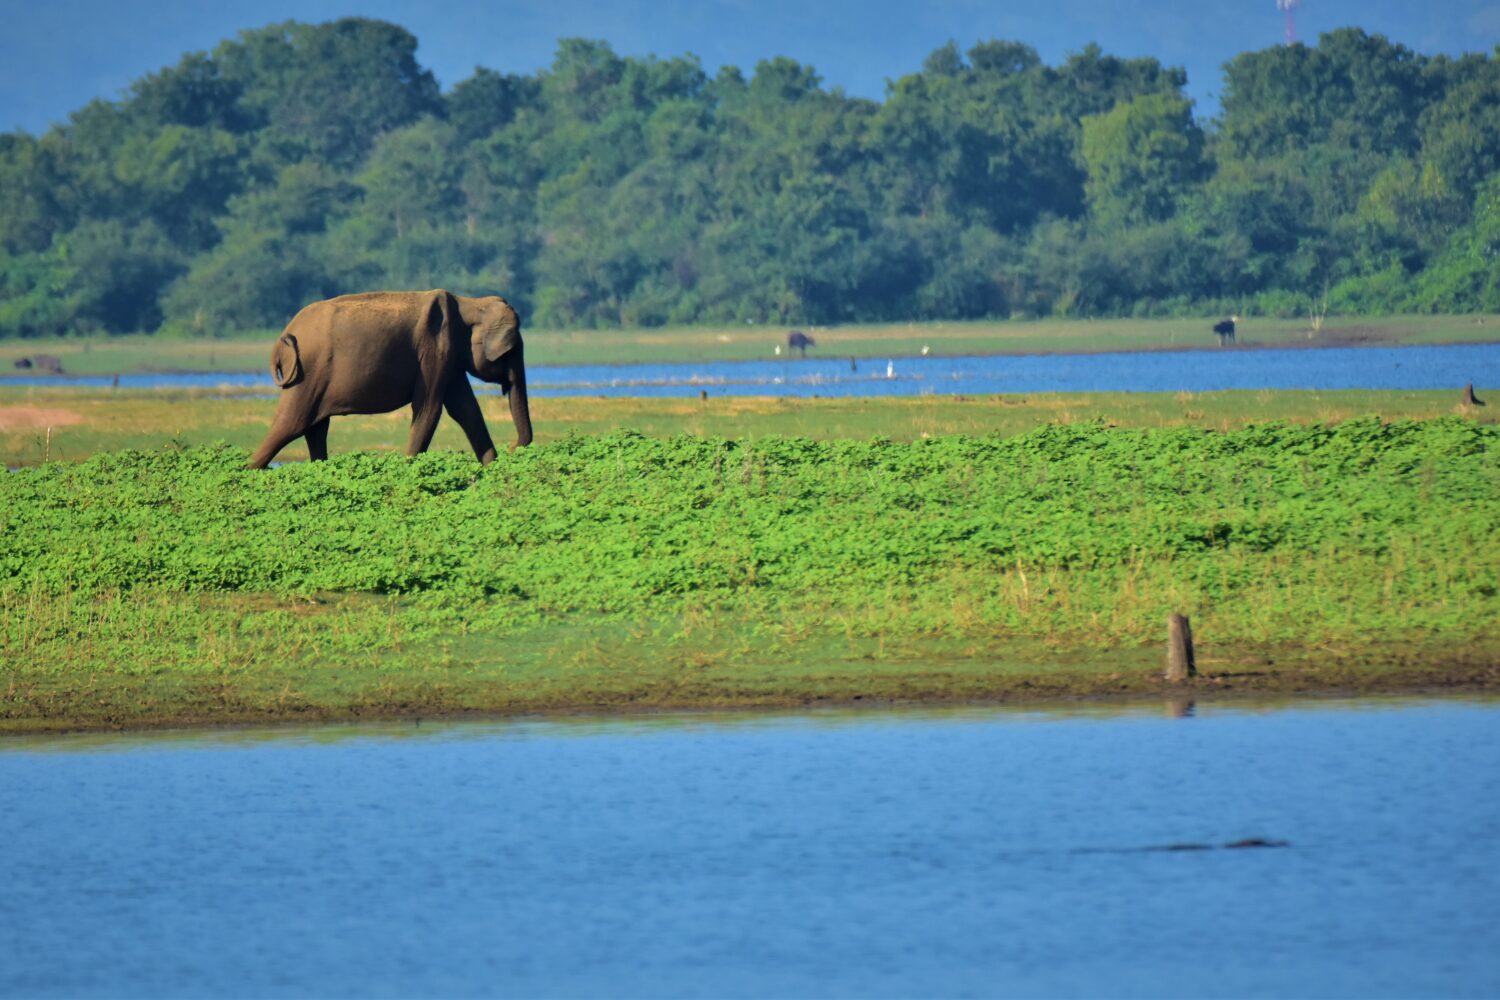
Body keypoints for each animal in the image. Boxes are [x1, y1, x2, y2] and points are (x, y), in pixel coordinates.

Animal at [246, 290, 528, 470]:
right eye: (511, 350)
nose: (512, 449)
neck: (470, 303)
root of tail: (283, 336)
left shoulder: (450, 360)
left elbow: (466, 410)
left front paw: (492, 469)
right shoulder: (435, 351)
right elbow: (428, 410)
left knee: (315, 428)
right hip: (306, 376)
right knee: (292, 425)